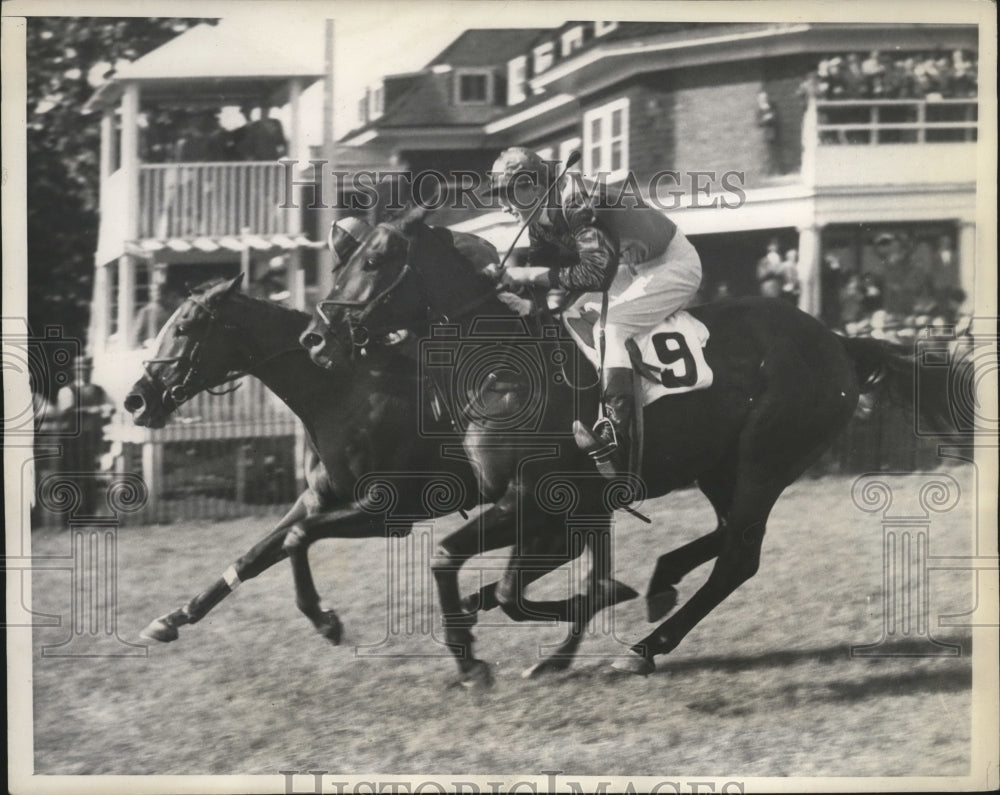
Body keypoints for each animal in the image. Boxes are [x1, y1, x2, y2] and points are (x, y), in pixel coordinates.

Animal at [300, 208, 964, 688]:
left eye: (375, 259)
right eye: (341, 259)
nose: (317, 336)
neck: (498, 365)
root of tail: (839, 341)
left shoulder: (533, 500)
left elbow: (471, 570)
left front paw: (473, 660)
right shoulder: (546, 505)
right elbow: (497, 578)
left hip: (765, 459)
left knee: (738, 557)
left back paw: (645, 647)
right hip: (721, 468)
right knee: (730, 535)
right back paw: (661, 584)